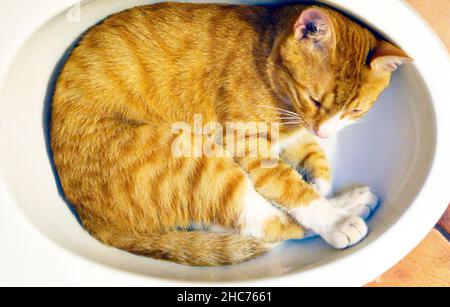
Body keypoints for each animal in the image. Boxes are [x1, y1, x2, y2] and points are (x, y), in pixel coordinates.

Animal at [50, 2, 412, 266]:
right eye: (314, 99)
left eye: (355, 110)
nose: (324, 131)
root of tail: (90, 219)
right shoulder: (251, 150)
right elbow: (294, 192)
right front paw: (333, 219)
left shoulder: (296, 133)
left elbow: (315, 161)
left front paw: (319, 179)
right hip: (199, 163)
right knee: (271, 226)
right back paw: (349, 211)